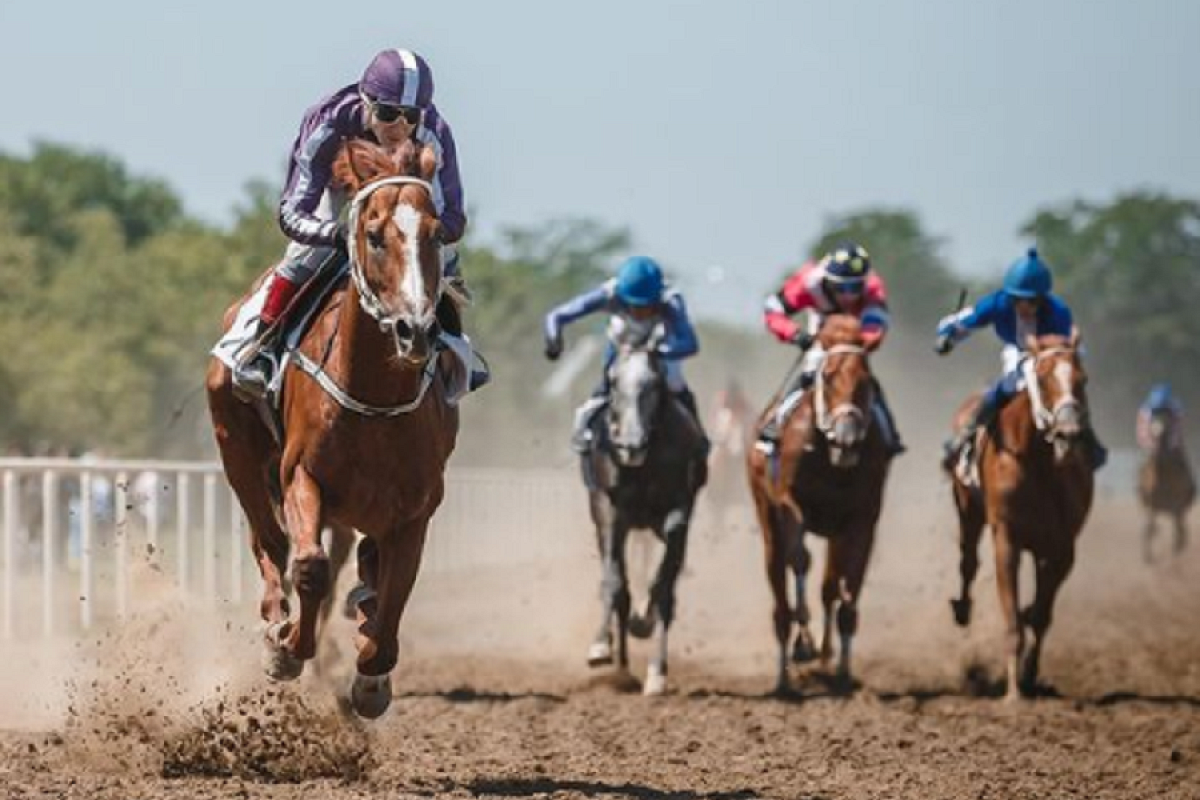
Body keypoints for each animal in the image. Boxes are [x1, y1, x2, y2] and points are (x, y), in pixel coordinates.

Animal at [206, 137, 453, 719]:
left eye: (436, 234)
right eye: (374, 235)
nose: (415, 331)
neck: (374, 400)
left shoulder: (416, 506)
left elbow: (394, 593)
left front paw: (370, 681)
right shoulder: (301, 474)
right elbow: (311, 567)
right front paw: (287, 649)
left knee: (362, 567)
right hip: (237, 453)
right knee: (270, 540)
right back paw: (276, 619)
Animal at [748, 316, 892, 690]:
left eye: (867, 381)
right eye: (826, 377)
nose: (847, 438)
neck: (829, 457)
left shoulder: (861, 520)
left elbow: (848, 588)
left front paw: (842, 670)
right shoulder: (789, 503)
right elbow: (799, 559)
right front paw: (804, 643)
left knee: (829, 587)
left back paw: (826, 659)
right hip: (767, 518)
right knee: (780, 589)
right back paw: (785, 674)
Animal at [945, 331, 1099, 700]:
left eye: (1083, 379)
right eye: (1041, 379)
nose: (1069, 433)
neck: (1038, 463)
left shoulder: (1062, 546)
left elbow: (1040, 615)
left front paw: (1029, 676)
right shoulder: (1007, 538)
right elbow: (1013, 618)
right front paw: (1013, 693)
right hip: (968, 509)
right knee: (968, 561)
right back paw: (962, 608)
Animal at [1137, 412, 1195, 563]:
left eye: (1168, 420)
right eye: (1153, 419)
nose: (1157, 430)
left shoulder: (1177, 508)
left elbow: (1178, 535)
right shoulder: (1152, 504)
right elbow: (1149, 529)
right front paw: (1148, 558)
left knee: (1180, 531)